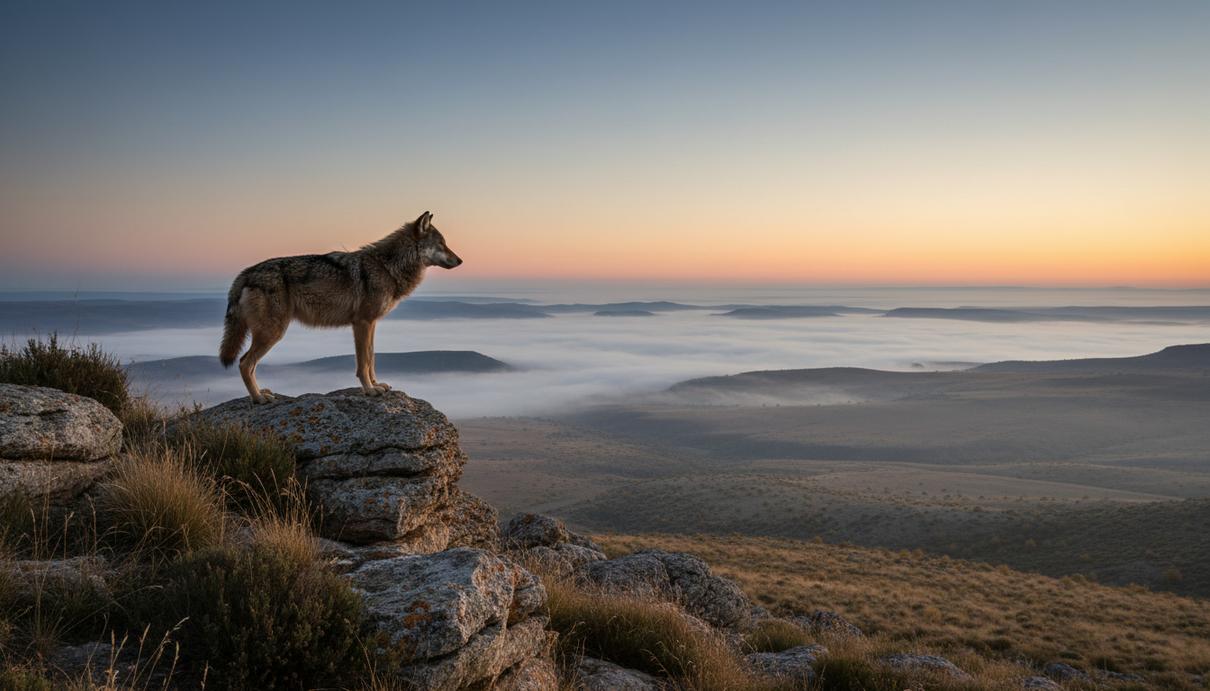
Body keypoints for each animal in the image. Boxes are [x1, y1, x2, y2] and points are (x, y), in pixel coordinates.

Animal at [218, 211, 462, 403]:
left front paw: (376, 385)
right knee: (244, 363)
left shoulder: (371, 323)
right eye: (442, 244)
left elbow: (371, 358)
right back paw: (259, 398)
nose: (460, 261)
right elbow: (363, 362)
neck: (387, 266)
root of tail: (245, 273)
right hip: (273, 333)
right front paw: (369, 390)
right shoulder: (362, 323)